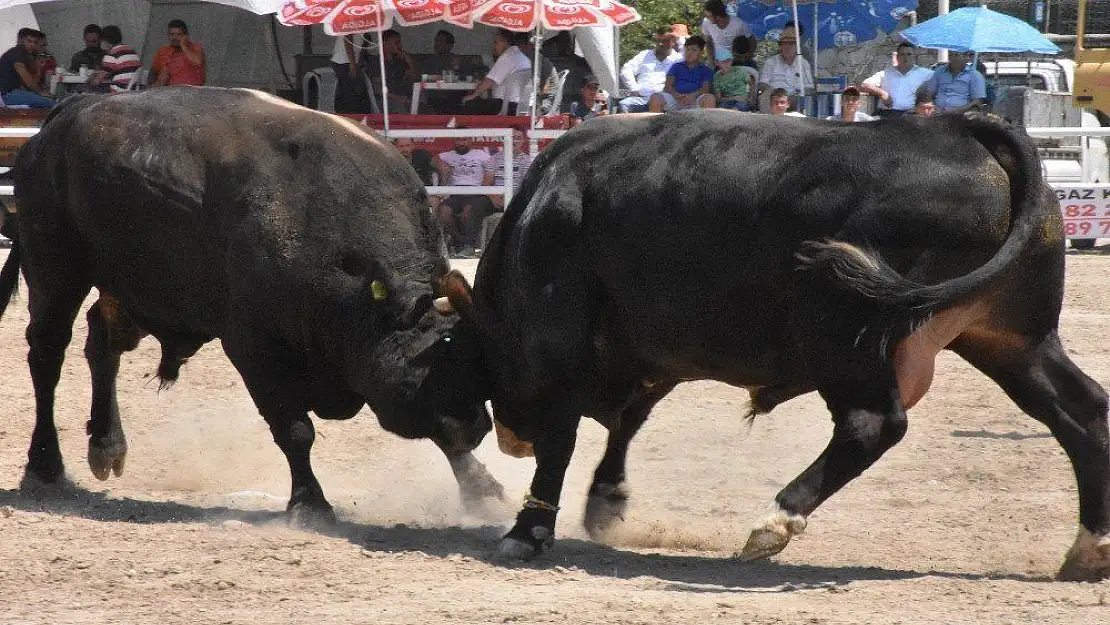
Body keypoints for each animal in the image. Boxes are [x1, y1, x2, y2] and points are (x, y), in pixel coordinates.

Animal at [2, 88, 506, 526]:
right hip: (54, 270)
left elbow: (437, 432)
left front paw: (481, 488)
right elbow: (295, 430)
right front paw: (309, 503)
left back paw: (107, 444)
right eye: (438, 353)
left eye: (473, 357)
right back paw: (45, 466)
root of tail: (70, 111)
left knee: (102, 342)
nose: (478, 426)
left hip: (137, 293)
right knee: (47, 354)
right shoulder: (255, 352)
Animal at [452, 111, 1110, 581]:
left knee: (873, 425)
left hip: (848, 343)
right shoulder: (654, 356)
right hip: (1013, 340)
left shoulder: (560, 345)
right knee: (1083, 415)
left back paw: (776, 520)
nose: (508, 436)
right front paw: (606, 501)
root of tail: (960, 127)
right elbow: (628, 422)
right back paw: (1089, 548)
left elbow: (564, 439)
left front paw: (528, 530)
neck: (545, 209)